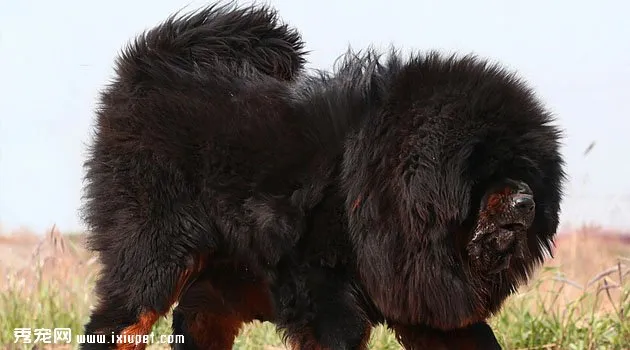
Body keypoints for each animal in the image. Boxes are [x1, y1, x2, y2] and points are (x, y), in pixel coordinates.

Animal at [81, 3, 564, 350]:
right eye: (485, 171)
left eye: (526, 173)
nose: (525, 201)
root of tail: (147, 67)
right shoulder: (322, 287)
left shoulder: (419, 289)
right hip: (159, 254)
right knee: (120, 322)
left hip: (231, 271)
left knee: (196, 320)